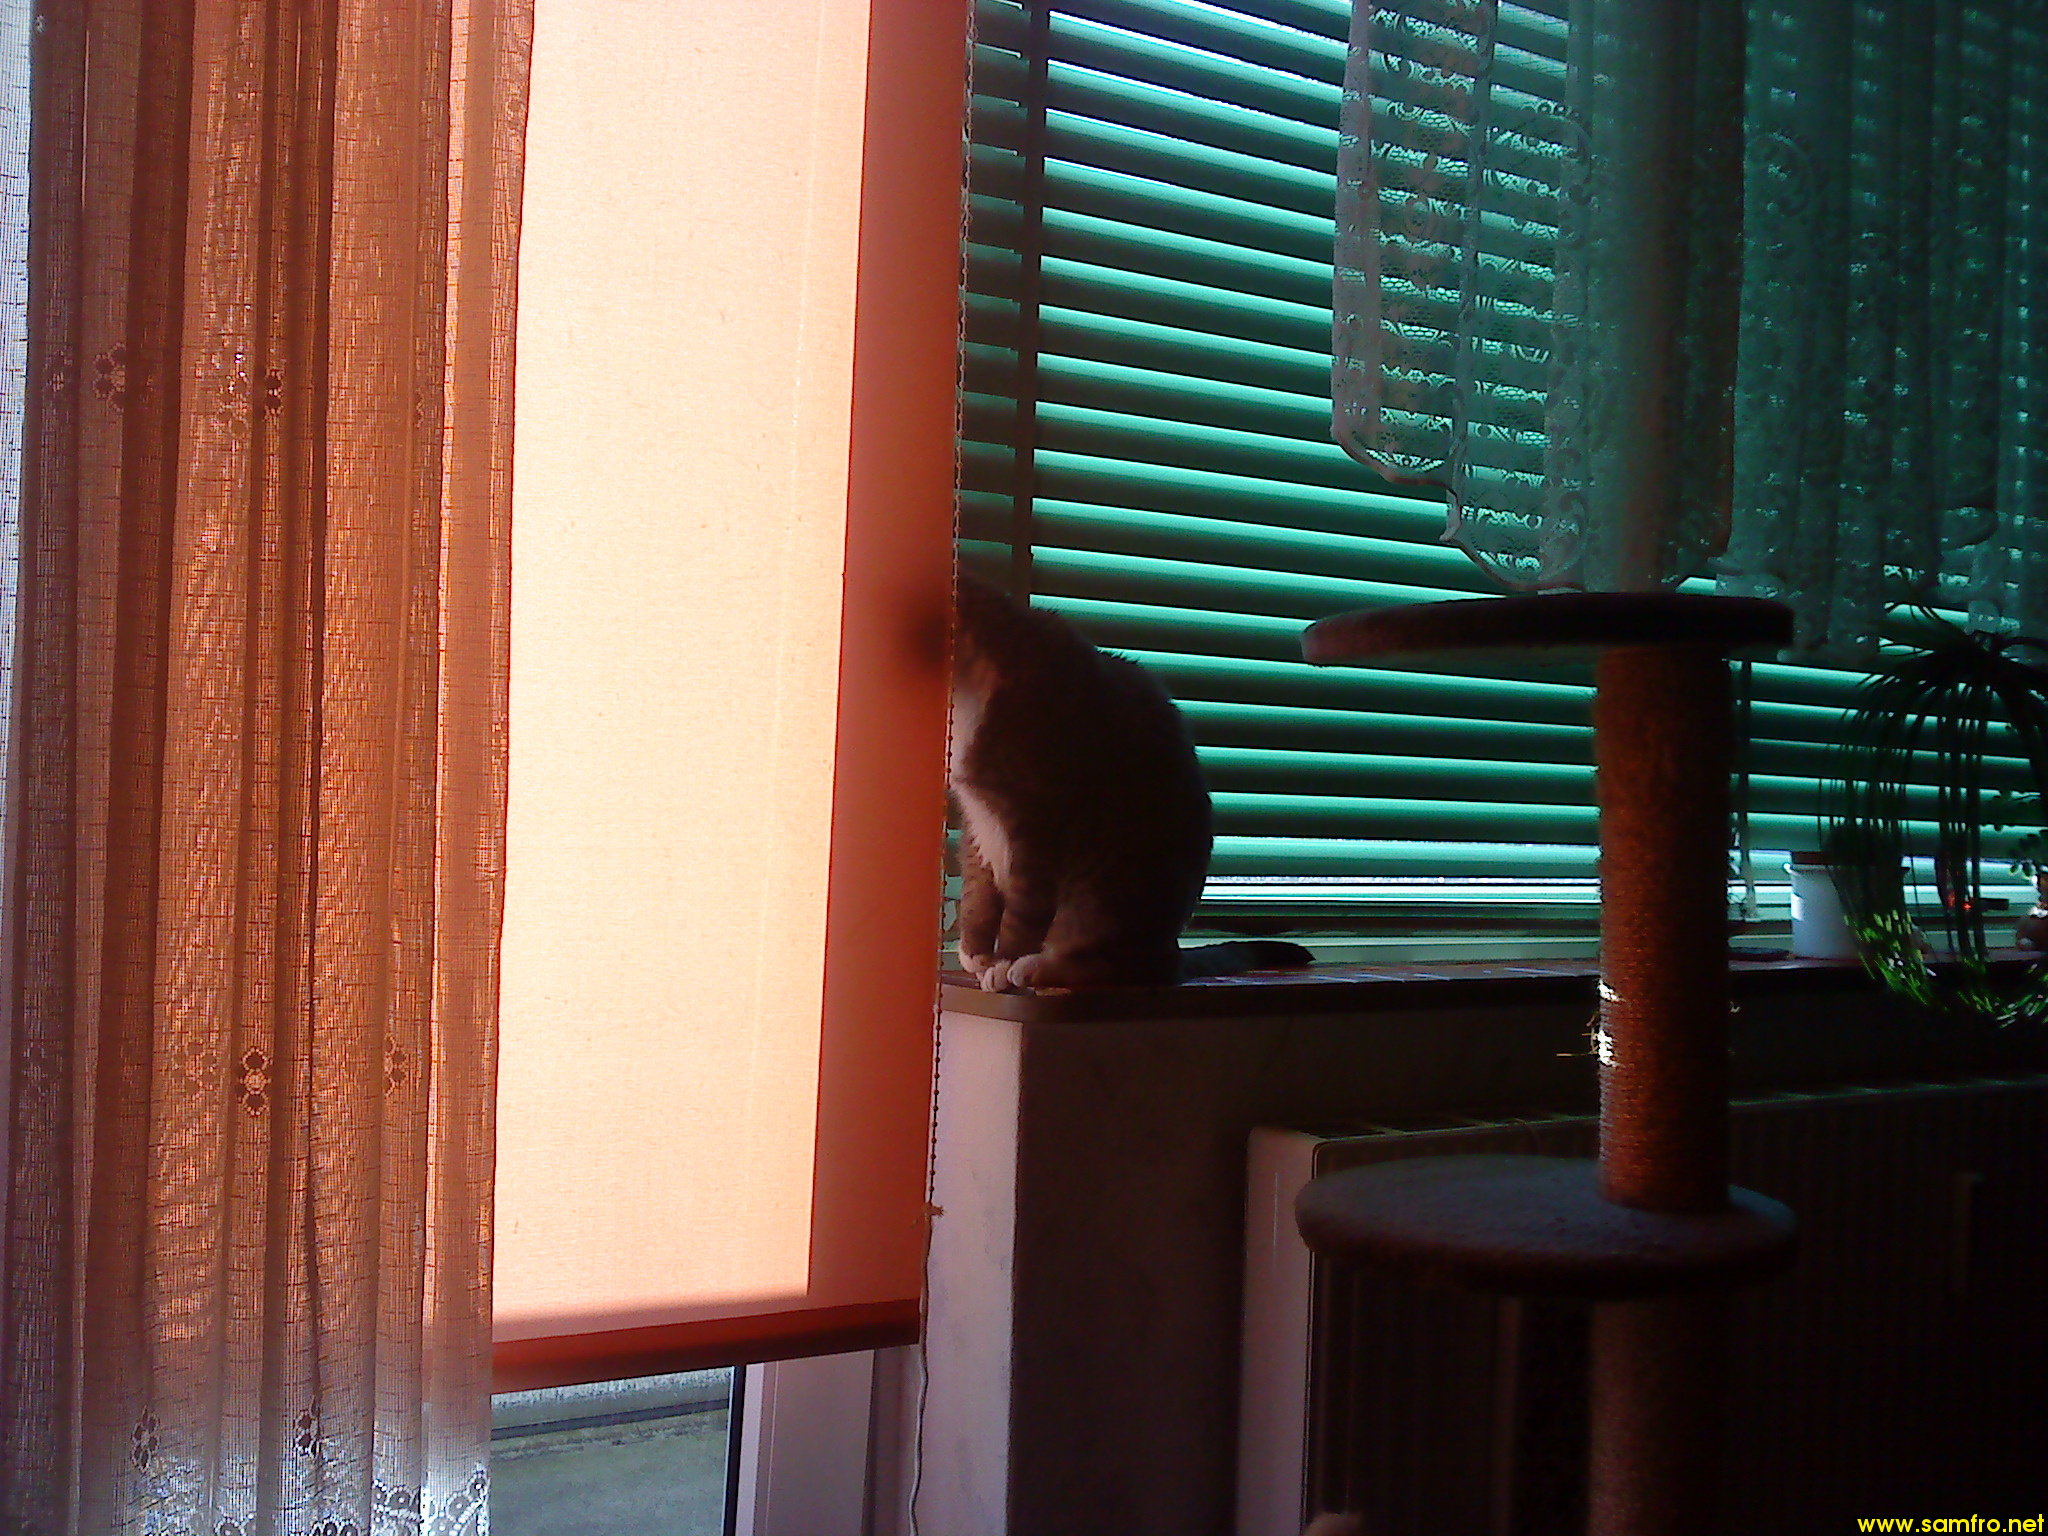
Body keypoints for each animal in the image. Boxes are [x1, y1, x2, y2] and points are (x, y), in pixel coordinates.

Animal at [948, 569, 1313, 990]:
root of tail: (1173, 953)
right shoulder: (977, 817)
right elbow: (977, 891)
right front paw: (974, 953)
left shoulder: (1037, 821)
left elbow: (1023, 911)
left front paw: (1004, 961)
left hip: (1103, 890)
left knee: (1109, 964)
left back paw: (1035, 966)